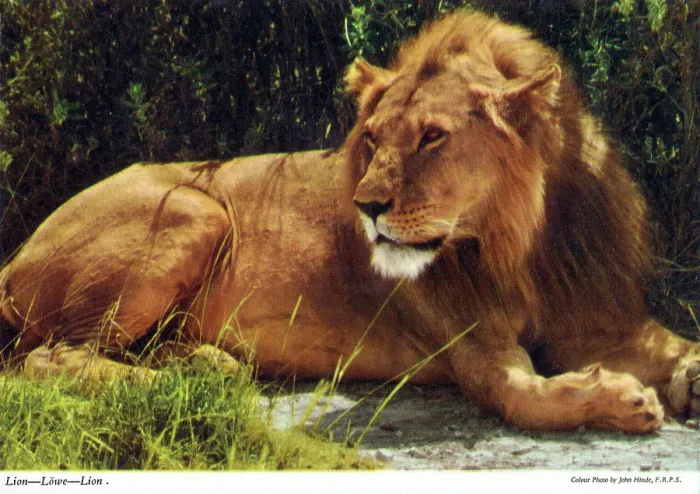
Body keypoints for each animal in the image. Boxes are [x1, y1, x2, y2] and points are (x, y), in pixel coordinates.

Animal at [0, 11, 698, 433]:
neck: (519, 244)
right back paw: (170, 385)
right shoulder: (473, 349)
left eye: (433, 137)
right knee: (49, 360)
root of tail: (14, 257)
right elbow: (527, 396)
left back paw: (205, 365)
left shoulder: (594, 316)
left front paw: (685, 379)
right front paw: (626, 400)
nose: (365, 206)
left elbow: (674, 343)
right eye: (373, 139)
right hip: (194, 206)